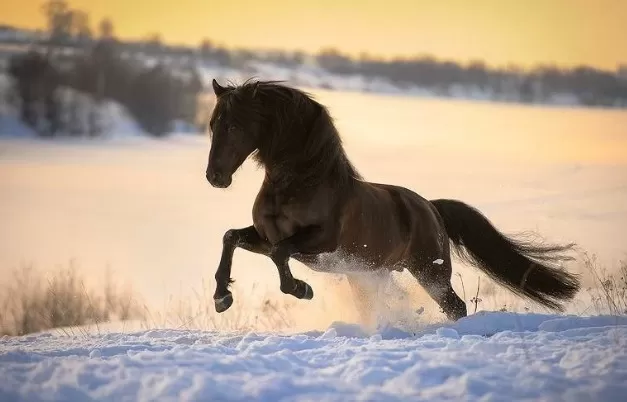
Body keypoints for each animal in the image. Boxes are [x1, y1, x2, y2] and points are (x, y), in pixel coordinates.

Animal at [207, 80, 584, 322]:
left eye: (235, 126)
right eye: (212, 125)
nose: (215, 177)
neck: (301, 182)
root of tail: (431, 207)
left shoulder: (319, 241)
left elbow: (280, 253)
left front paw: (302, 289)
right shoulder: (265, 235)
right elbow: (231, 237)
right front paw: (222, 298)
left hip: (430, 272)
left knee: (456, 306)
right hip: (373, 275)